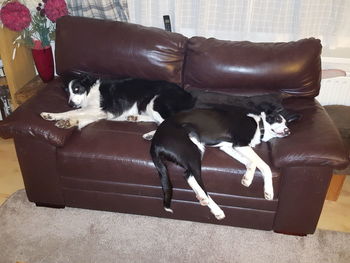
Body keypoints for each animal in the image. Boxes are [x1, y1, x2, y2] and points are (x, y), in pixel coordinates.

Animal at [40, 74, 197, 130]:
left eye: (77, 89)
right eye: (68, 91)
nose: (71, 102)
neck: (90, 91)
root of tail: (188, 96)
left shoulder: (98, 110)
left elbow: (73, 112)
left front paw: (56, 116)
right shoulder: (98, 113)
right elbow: (80, 117)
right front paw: (66, 122)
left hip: (155, 101)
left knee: (166, 122)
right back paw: (134, 117)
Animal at [150, 103, 292, 221]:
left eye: (287, 123)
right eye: (278, 119)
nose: (288, 131)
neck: (259, 125)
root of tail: (155, 142)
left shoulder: (229, 147)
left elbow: (251, 162)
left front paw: (247, 179)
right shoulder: (240, 144)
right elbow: (264, 165)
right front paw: (268, 190)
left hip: (197, 149)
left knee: (188, 175)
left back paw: (202, 198)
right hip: (192, 152)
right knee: (199, 183)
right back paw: (216, 209)